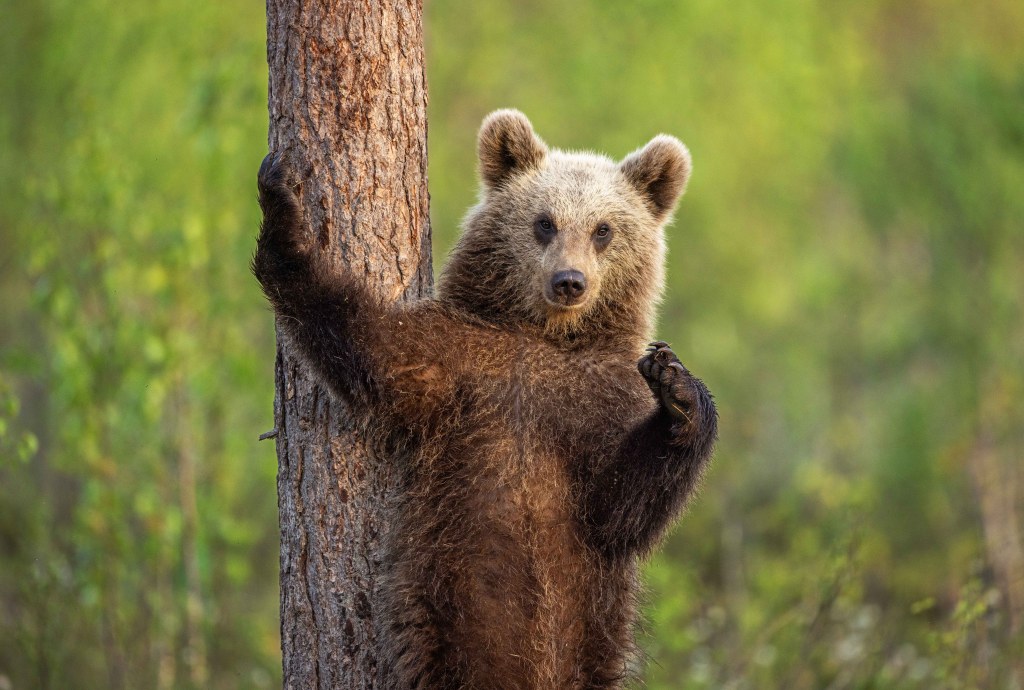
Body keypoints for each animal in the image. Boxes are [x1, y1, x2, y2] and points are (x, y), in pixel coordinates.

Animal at [252, 109, 718, 689]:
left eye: (603, 229)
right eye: (544, 222)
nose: (569, 281)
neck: (543, 337)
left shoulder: (599, 399)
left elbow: (624, 506)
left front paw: (677, 389)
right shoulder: (460, 363)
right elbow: (369, 345)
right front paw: (282, 214)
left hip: (592, 640)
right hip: (450, 621)